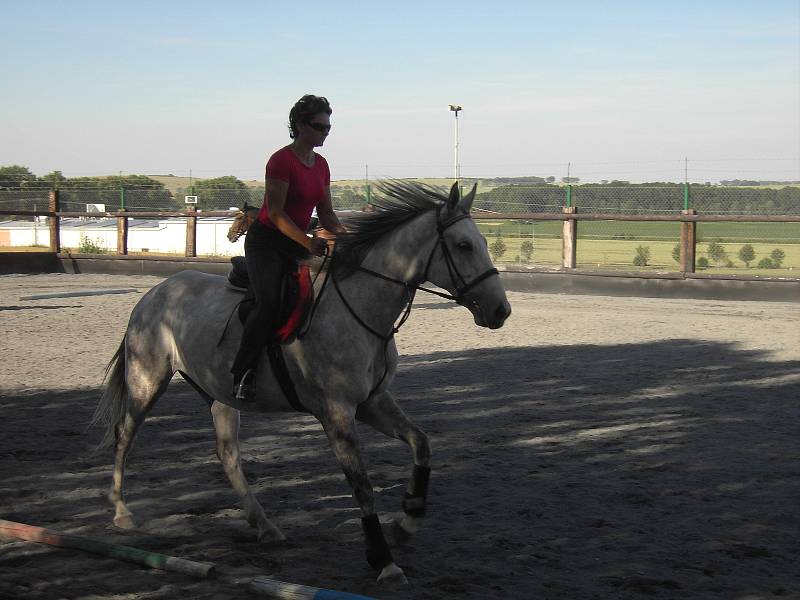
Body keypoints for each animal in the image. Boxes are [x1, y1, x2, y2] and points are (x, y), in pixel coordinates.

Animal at [90, 180, 510, 584]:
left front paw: (407, 521)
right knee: (125, 436)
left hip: (219, 395)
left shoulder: (373, 403)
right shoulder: (336, 413)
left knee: (227, 455)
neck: (360, 307)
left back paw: (264, 525)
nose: (500, 310)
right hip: (147, 381)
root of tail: (154, 294)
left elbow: (421, 444)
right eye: (463, 245)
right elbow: (362, 485)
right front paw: (383, 560)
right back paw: (122, 511)